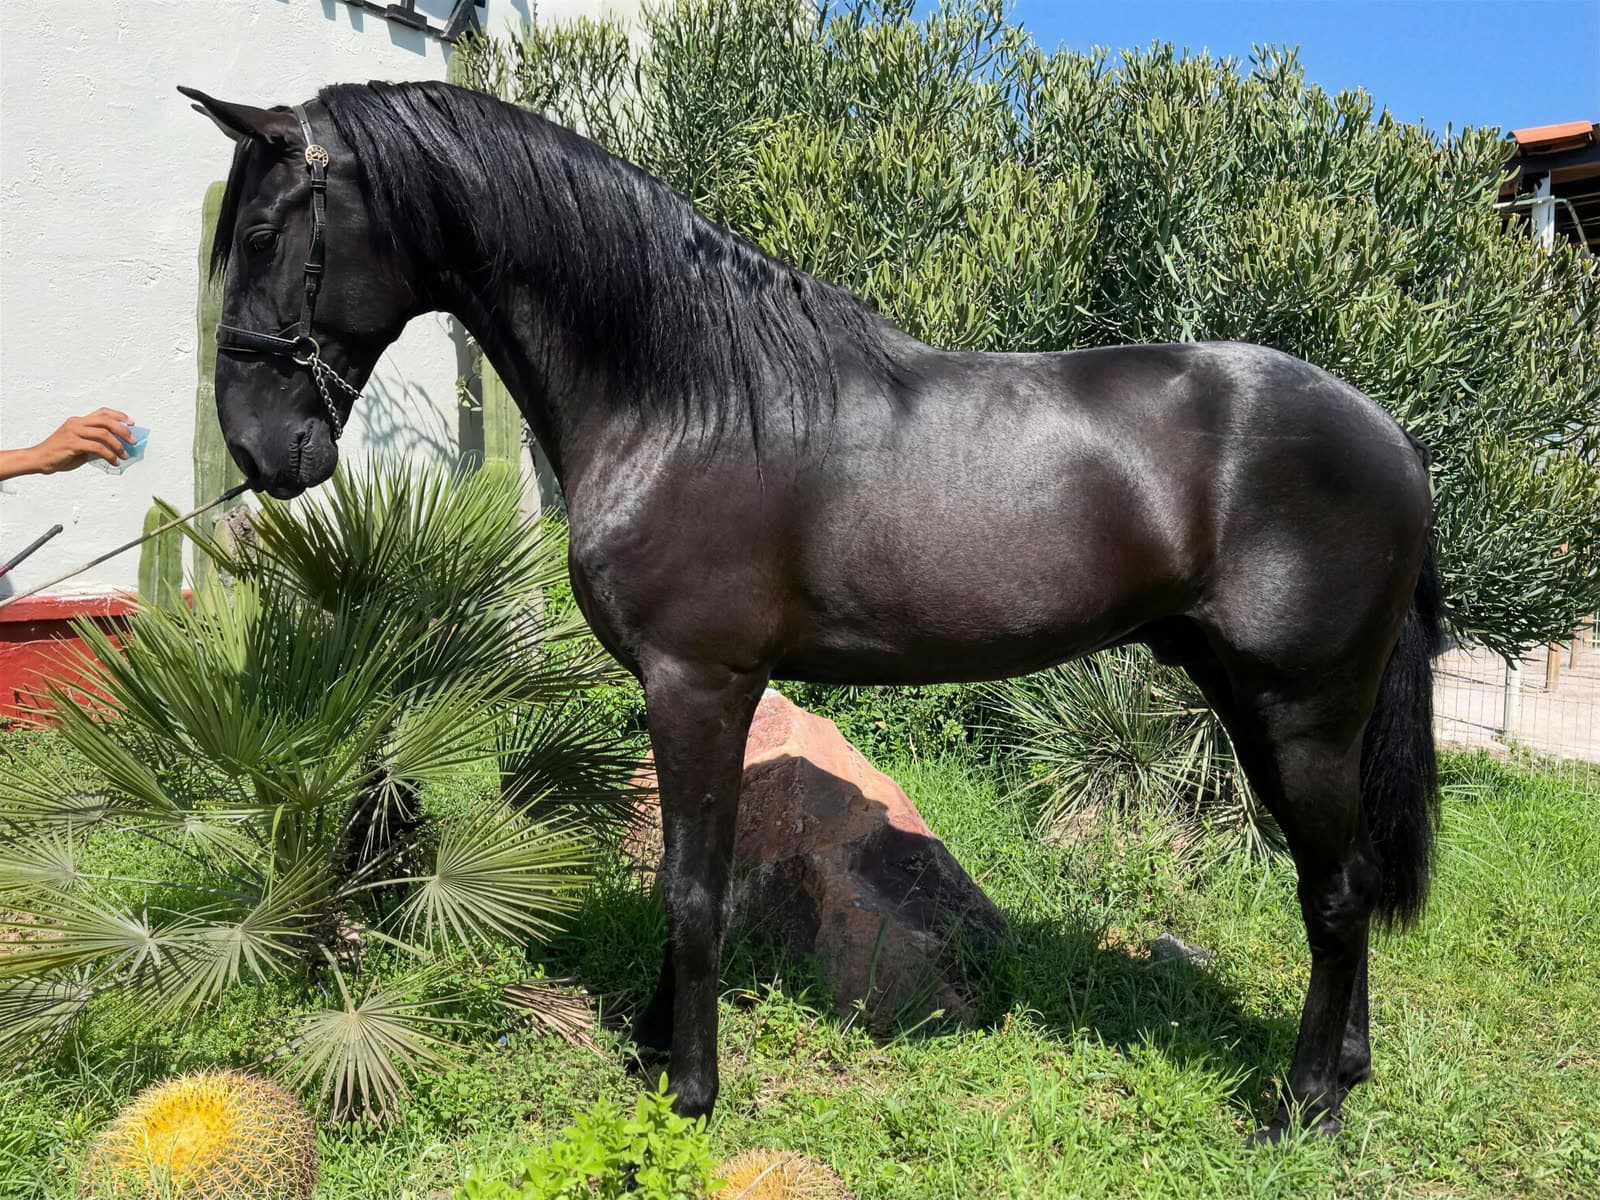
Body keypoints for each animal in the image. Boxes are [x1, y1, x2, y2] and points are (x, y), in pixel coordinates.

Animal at [178, 79, 1441, 1143]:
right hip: (1257, 702)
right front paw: (655, 1049)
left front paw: (690, 1091)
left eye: (261, 238)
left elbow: (692, 890)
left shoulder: (696, 681)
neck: (682, 398)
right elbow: (687, 875)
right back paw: (1350, 1072)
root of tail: (1388, 439)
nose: (257, 449)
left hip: (1300, 709)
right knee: (1347, 884)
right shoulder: (711, 691)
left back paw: (1301, 1108)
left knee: (1334, 895)